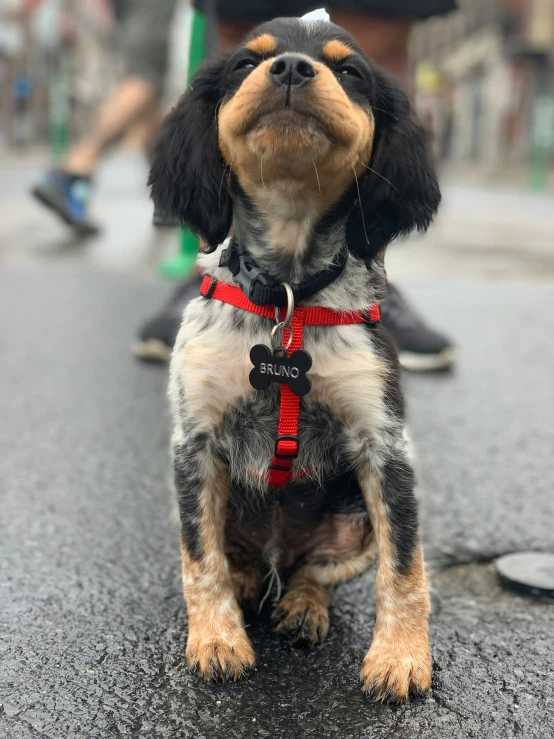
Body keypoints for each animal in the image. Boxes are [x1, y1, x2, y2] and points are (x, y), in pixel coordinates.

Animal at [148, 14, 440, 704]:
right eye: (243, 63)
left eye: (351, 71)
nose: (289, 69)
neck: (286, 293)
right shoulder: (193, 445)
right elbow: (200, 562)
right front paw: (217, 640)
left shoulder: (385, 446)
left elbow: (406, 566)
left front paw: (401, 657)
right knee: (233, 560)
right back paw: (249, 587)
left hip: (353, 524)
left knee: (315, 572)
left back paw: (303, 606)